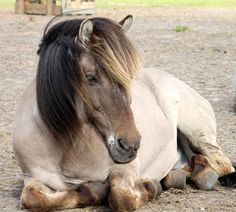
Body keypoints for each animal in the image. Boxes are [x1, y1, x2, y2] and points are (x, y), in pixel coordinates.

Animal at [13, 15, 236, 211]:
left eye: (127, 78)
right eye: (90, 77)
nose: (131, 145)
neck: (69, 147)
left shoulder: (125, 169)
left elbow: (121, 198)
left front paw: (151, 186)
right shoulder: (33, 178)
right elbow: (33, 199)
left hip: (196, 132)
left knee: (221, 162)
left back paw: (200, 176)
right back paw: (179, 175)